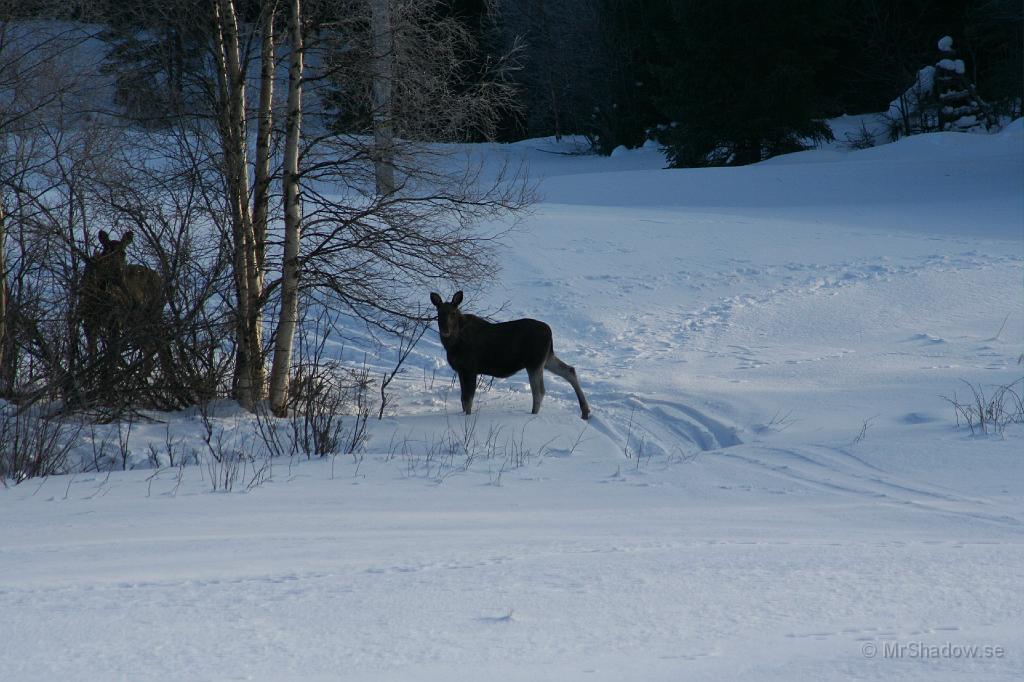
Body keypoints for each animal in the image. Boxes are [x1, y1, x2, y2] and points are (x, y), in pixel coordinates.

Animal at [432, 288, 593, 417]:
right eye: (439, 313)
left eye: (453, 313)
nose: (445, 330)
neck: (453, 343)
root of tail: (550, 332)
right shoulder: (461, 370)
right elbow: (463, 399)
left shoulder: (470, 368)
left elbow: (468, 399)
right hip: (546, 358)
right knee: (569, 370)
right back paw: (585, 411)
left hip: (535, 363)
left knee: (539, 391)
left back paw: (533, 415)